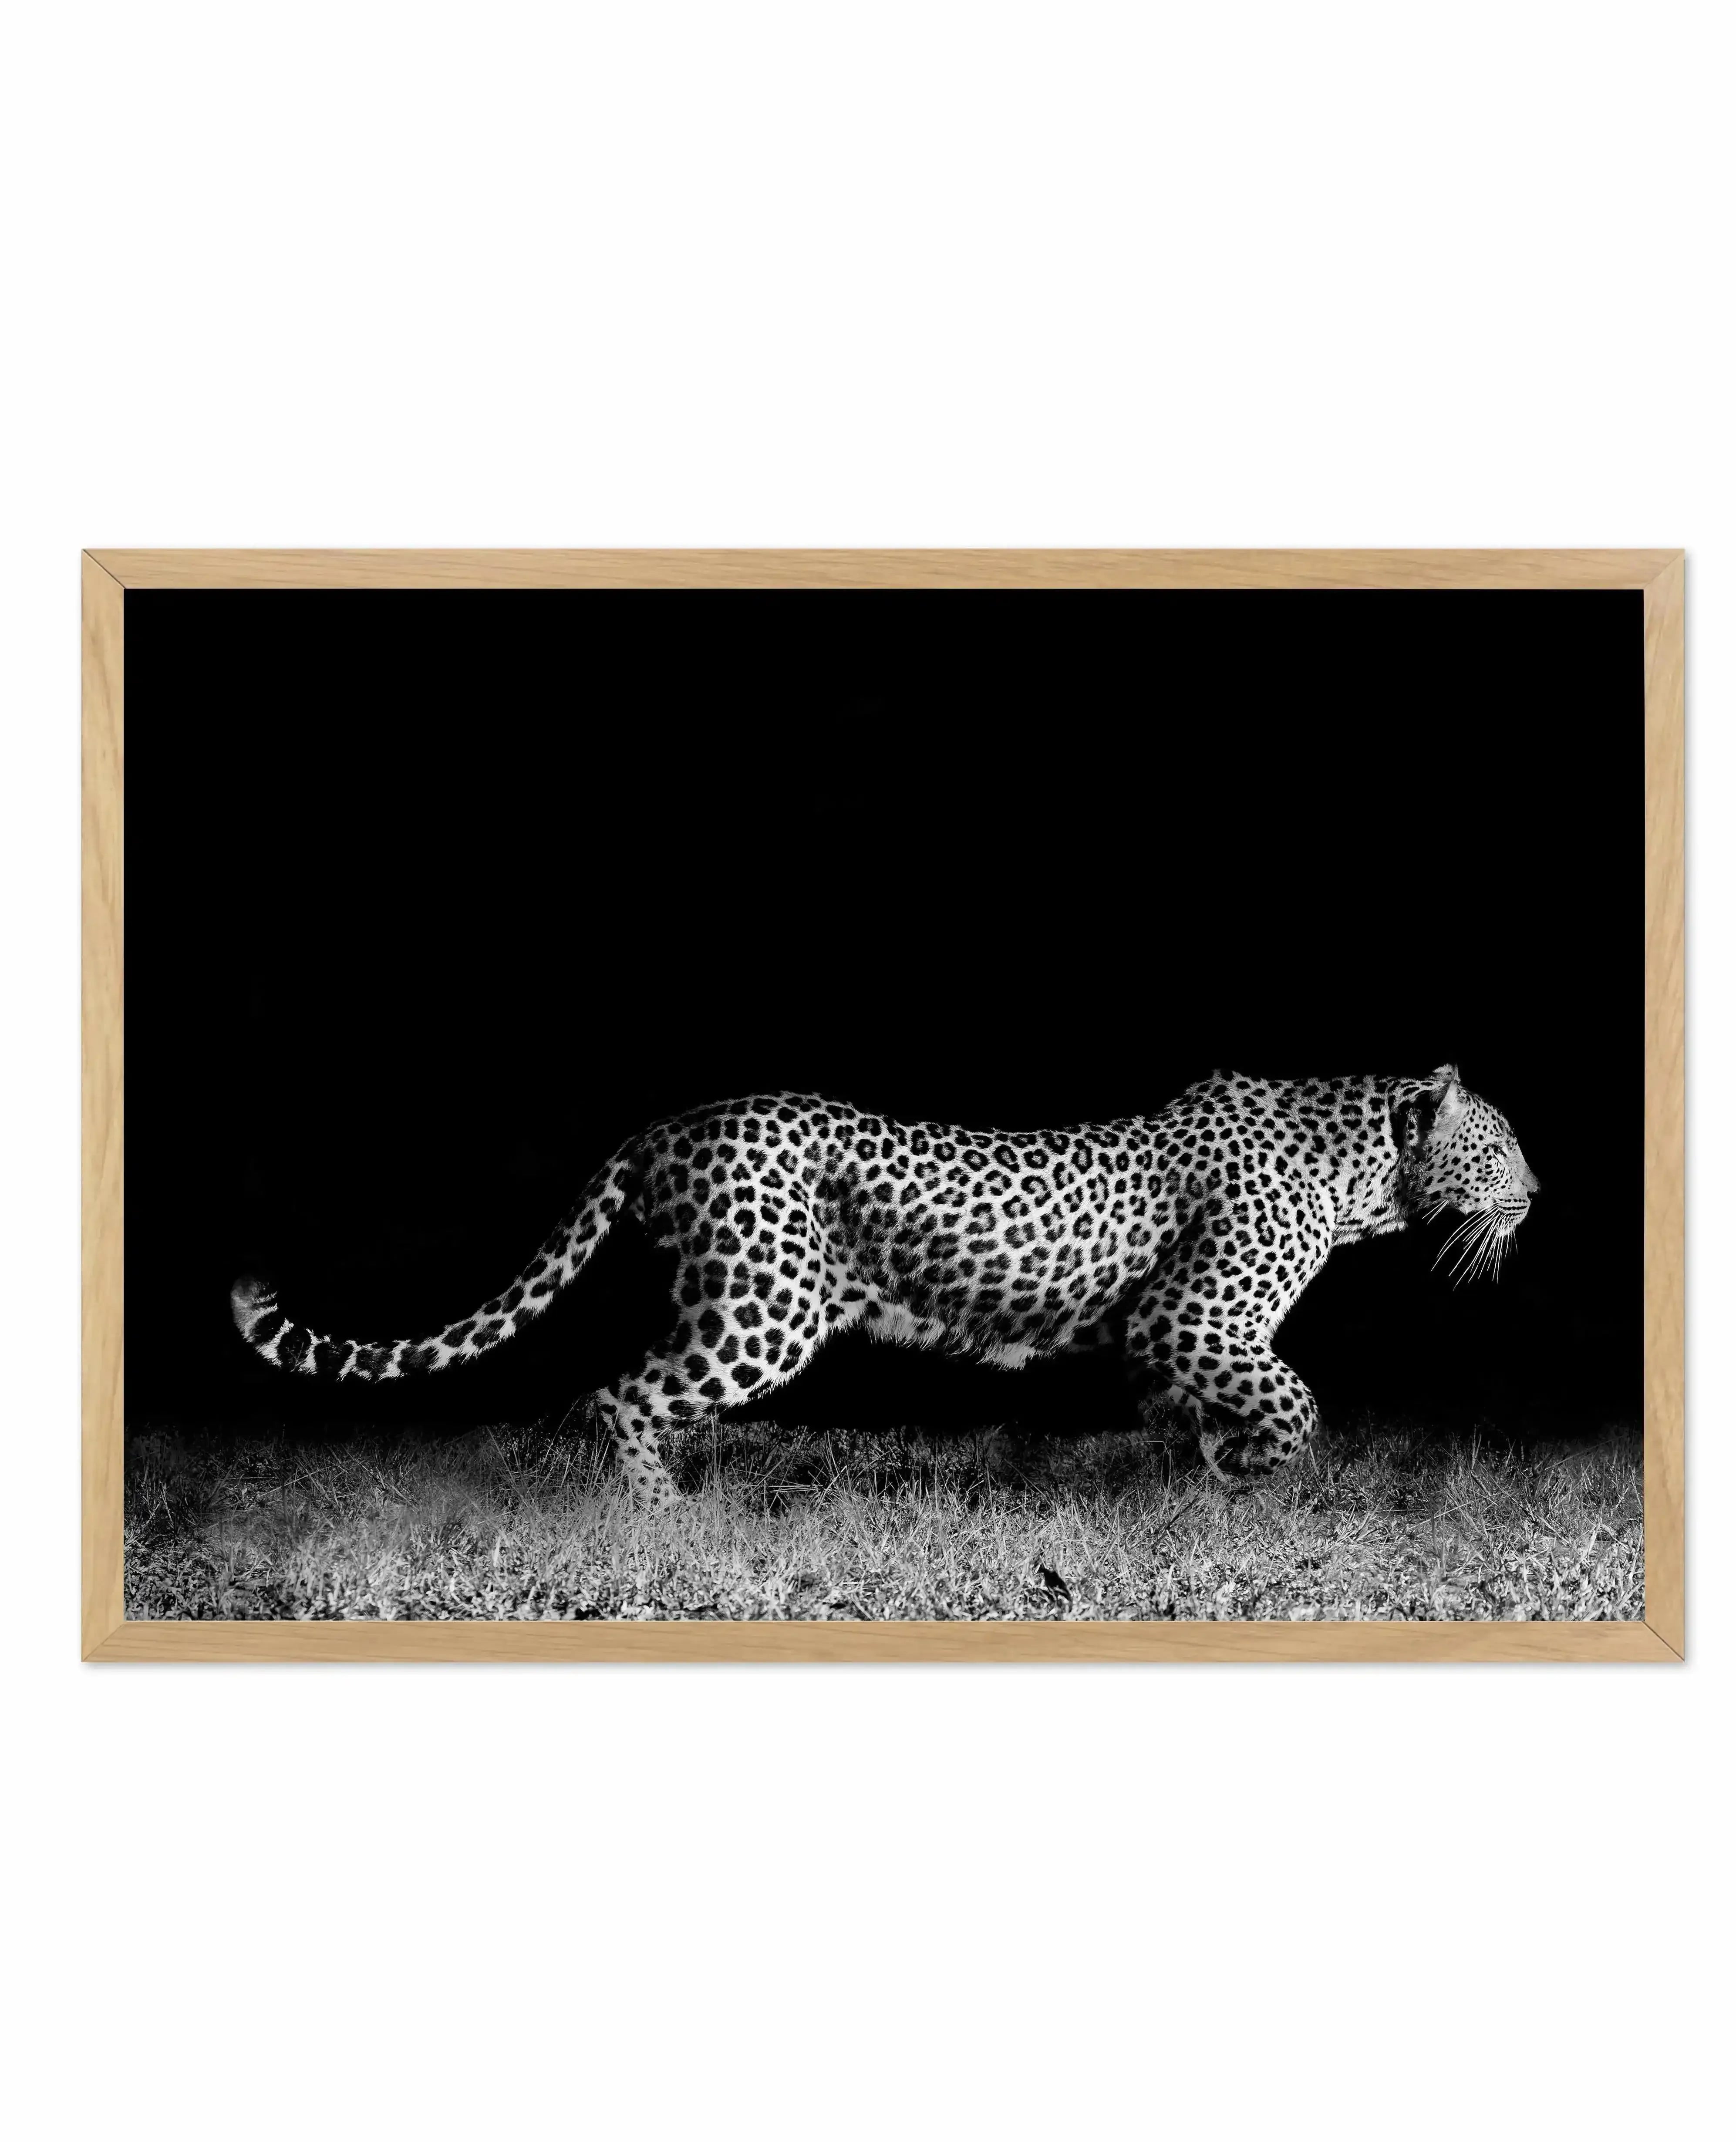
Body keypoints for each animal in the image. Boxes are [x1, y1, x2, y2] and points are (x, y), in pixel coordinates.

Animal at [231, 1063, 1538, 1508]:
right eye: (1501, 1146)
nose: (1539, 1190)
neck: (1363, 1173)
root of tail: (666, 1123)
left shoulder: (1158, 1339)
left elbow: (1191, 1413)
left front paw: (1204, 1477)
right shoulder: (1193, 1316)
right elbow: (1294, 1400)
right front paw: (1254, 1468)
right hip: (766, 1307)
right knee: (620, 1394)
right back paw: (665, 1517)